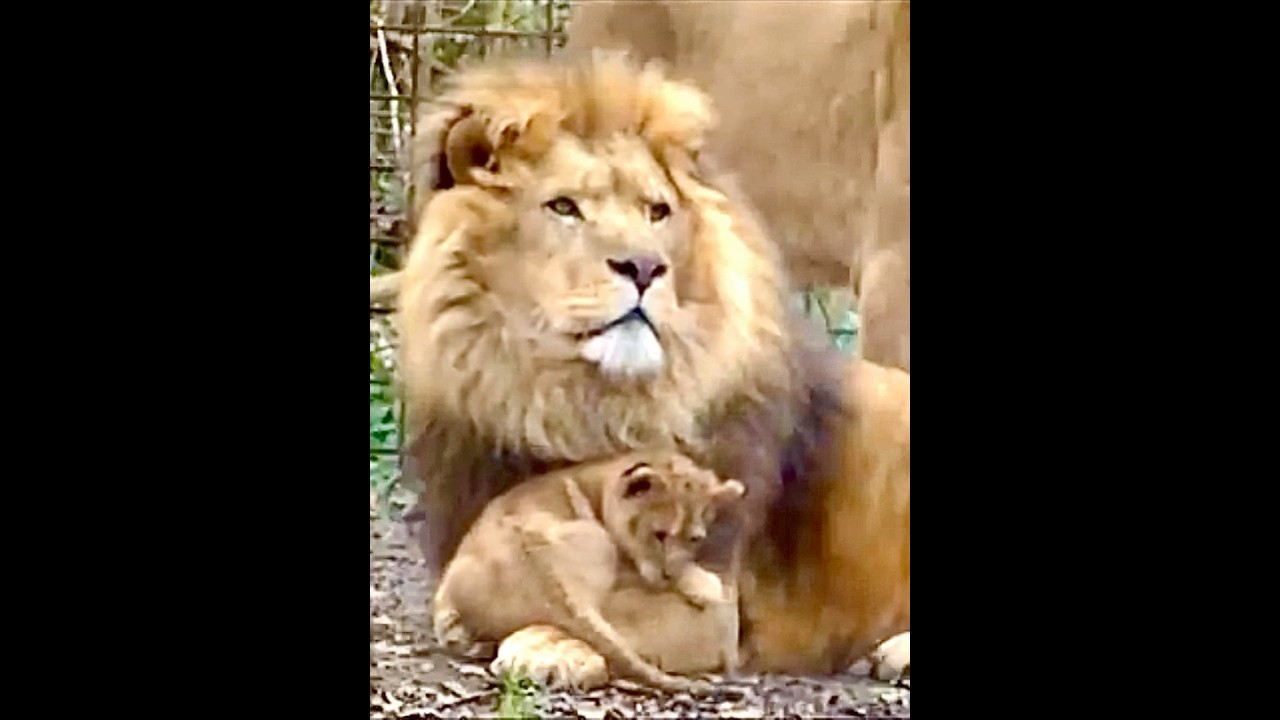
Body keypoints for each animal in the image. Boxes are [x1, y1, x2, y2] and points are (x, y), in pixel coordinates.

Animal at [431, 452, 745, 691]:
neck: (598, 485)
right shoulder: (624, 559)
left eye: (695, 539)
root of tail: (552, 583)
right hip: (599, 542)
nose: (667, 575)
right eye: (659, 535)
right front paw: (705, 585)